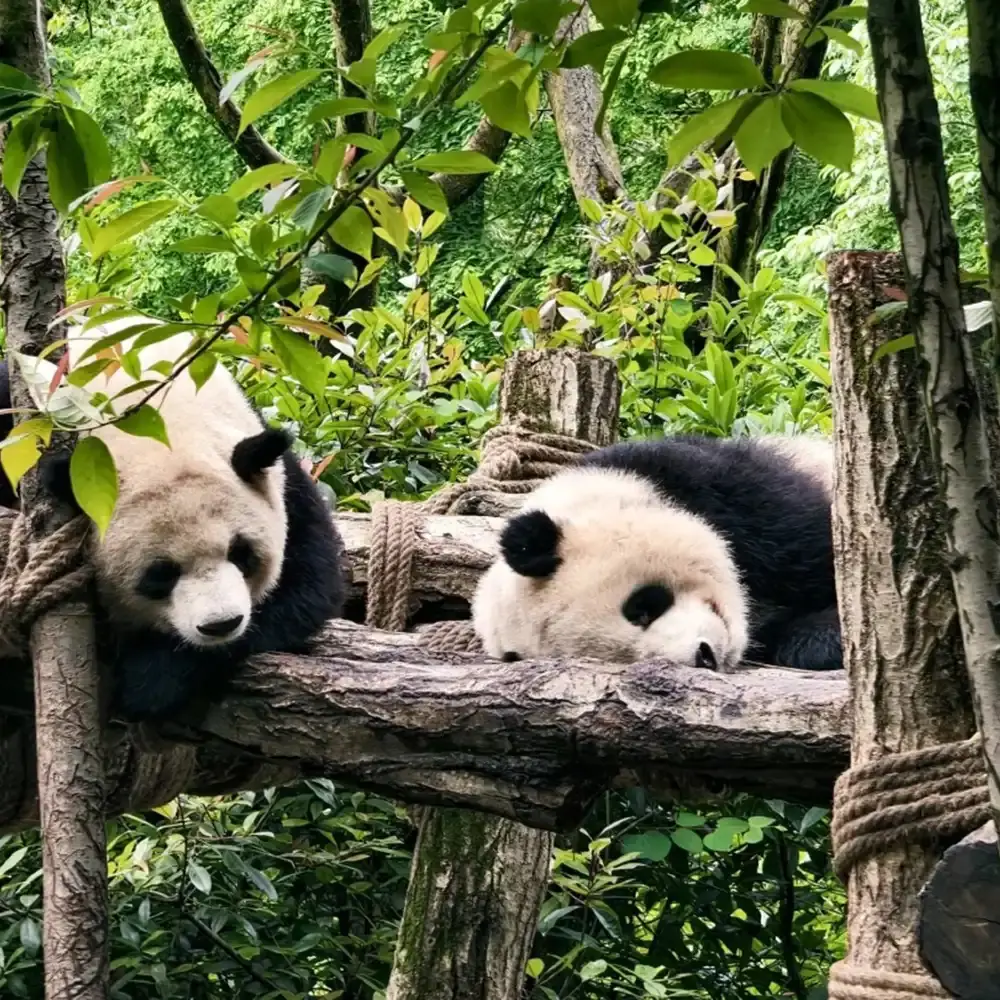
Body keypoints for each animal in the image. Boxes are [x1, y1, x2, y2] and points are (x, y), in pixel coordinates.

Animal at [0, 316, 346, 722]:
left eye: (242, 553)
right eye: (161, 574)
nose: (222, 624)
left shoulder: (279, 475)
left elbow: (308, 583)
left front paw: (152, 678)